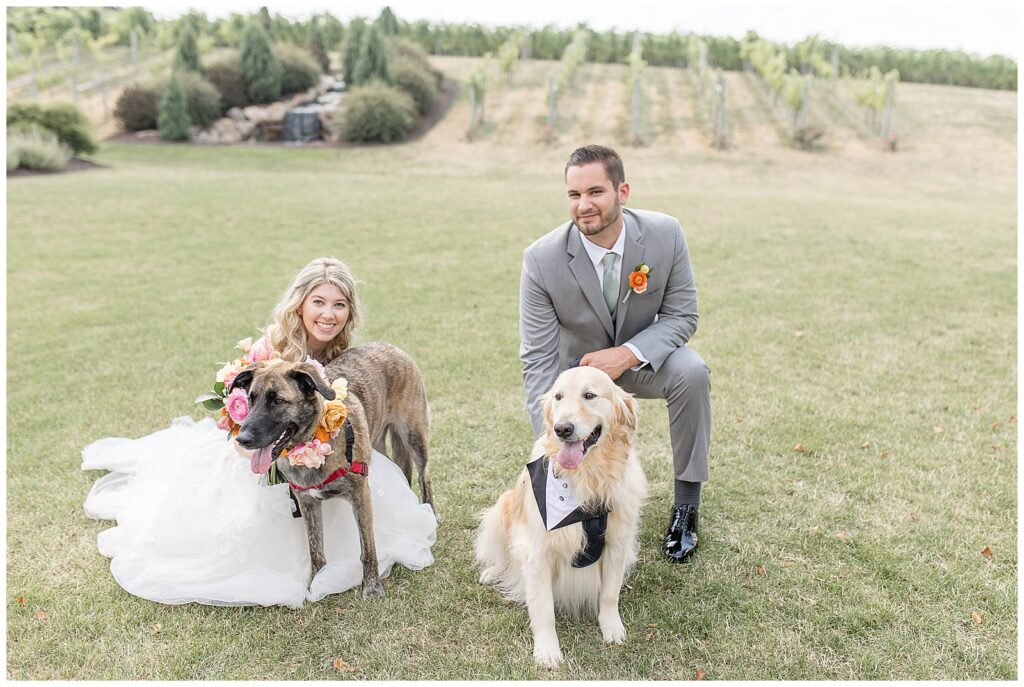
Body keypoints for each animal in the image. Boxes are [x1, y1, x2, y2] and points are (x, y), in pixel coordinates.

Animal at [230, 341, 434, 597]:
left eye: (278, 401)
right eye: (251, 399)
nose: (243, 439)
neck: (310, 438)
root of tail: (390, 346)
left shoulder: (360, 494)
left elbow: (367, 548)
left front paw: (372, 587)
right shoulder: (307, 502)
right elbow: (315, 550)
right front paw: (317, 583)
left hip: (413, 435)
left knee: (425, 476)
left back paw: (430, 514)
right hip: (378, 441)